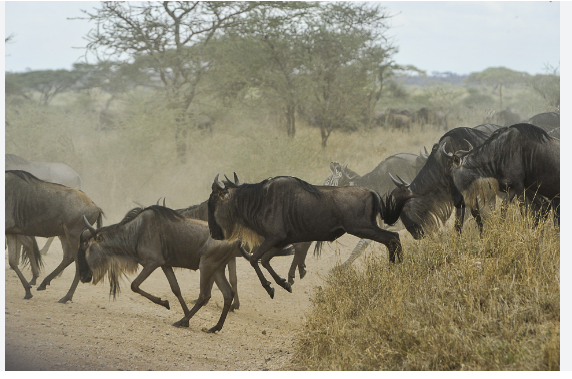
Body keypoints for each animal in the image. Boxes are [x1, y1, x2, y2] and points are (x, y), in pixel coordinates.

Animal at [78, 206, 244, 334]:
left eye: (88, 247)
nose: (83, 277)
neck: (135, 232)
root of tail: (236, 239)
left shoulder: (153, 262)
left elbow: (134, 285)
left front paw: (165, 304)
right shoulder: (165, 264)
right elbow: (176, 288)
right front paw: (185, 317)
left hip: (206, 266)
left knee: (204, 295)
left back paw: (180, 321)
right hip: (217, 269)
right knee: (227, 293)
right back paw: (214, 327)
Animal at [208, 175, 404, 300]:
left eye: (213, 202)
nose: (213, 233)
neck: (259, 200)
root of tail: (372, 192)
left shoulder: (274, 238)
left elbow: (254, 259)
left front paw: (271, 287)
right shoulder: (281, 241)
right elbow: (264, 260)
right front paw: (284, 283)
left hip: (362, 227)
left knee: (392, 238)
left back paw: (394, 269)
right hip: (365, 227)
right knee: (393, 239)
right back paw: (396, 268)